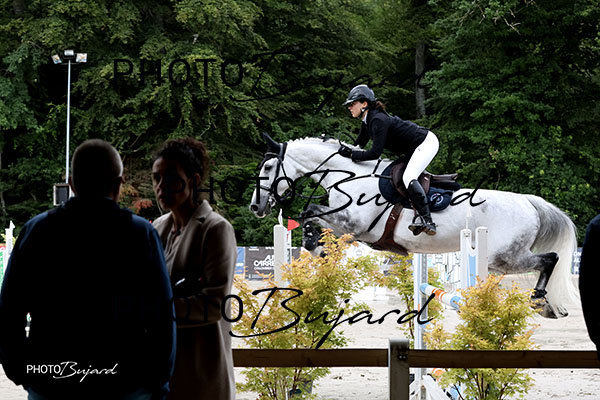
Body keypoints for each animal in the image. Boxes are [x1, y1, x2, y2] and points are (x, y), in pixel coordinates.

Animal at [249, 134, 579, 319]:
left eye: (268, 167)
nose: (256, 207)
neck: (348, 176)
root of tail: (530, 203)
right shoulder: (350, 228)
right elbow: (313, 216)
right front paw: (317, 246)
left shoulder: (355, 224)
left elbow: (311, 211)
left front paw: (314, 244)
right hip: (501, 259)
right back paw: (545, 305)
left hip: (502, 258)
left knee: (550, 259)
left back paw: (540, 301)